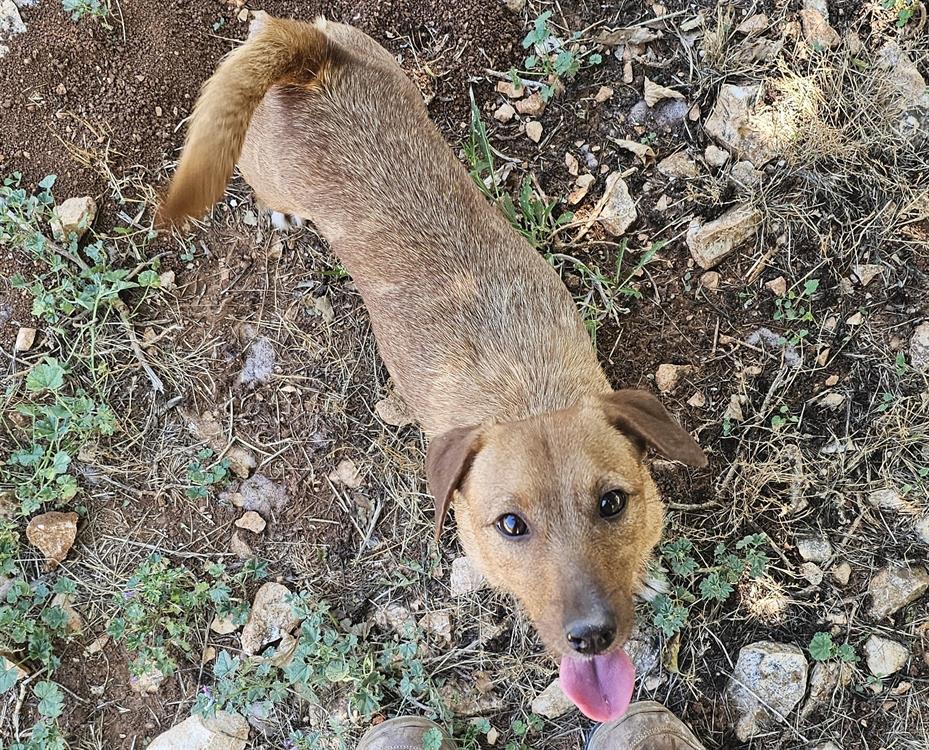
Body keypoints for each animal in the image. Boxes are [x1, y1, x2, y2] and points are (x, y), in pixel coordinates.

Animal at [158, 13, 707, 722]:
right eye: (510, 526)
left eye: (613, 502)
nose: (591, 636)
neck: (527, 393)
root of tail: (307, 59)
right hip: (261, 165)